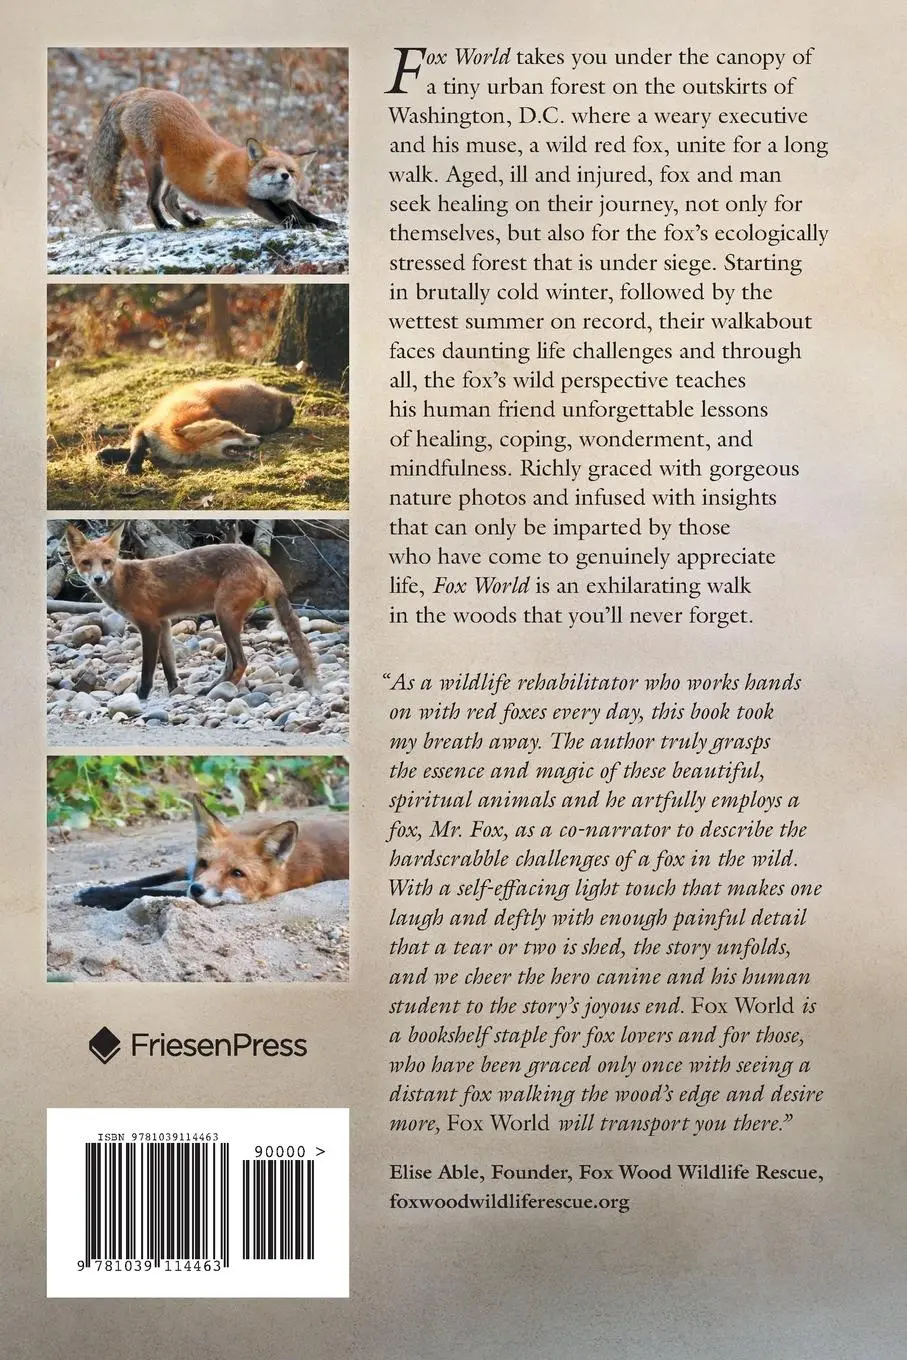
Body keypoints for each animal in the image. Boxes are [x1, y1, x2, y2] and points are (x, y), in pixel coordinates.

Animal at [64, 523, 320, 700]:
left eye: (107, 561)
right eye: (86, 562)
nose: (98, 579)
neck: (125, 583)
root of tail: (258, 558)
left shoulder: (150, 626)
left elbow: (147, 671)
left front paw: (141, 697)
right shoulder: (164, 624)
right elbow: (169, 667)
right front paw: (174, 691)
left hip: (224, 615)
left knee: (241, 661)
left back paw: (221, 690)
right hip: (228, 620)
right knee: (232, 663)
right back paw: (213, 687)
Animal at [76, 797, 349, 910]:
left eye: (237, 873)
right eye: (204, 862)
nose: (197, 889)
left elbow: (152, 891)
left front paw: (99, 896)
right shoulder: (188, 868)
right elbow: (146, 880)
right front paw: (98, 889)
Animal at [87, 87, 337, 232]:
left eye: (291, 171)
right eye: (270, 167)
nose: (285, 176)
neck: (244, 174)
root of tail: (140, 91)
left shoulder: (280, 199)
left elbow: (302, 210)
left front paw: (321, 222)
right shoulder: (250, 199)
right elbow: (283, 216)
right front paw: (301, 225)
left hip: (175, 175)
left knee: (168, 200)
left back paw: (188, 222)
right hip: (154, 167)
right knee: (152, 202)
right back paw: (164, 226)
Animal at [95, 377, 296, 475]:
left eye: (241, 429)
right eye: (230, 431)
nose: (260, 438)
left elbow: (141, 449)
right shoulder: (146, 427)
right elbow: (138, 447)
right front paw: (126, 462)